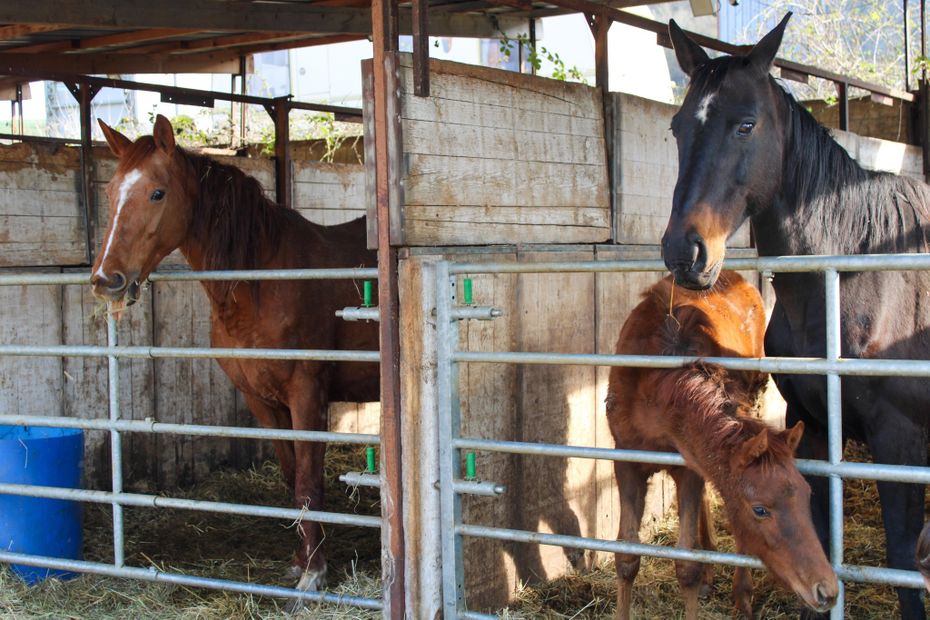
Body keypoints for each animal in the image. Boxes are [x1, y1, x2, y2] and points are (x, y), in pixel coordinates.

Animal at [90, 115, 379, 600]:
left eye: (157, 193)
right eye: (110, 192)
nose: (105, 279)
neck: (262, 282)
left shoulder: (307, 394)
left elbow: (309, 481)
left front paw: (315, 572)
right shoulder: (261, 400)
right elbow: (291, 477)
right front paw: (299, 562)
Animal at [606, 270, 837, 618]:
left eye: (807, 495)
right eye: (760, 509)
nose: (826, 590)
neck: (655, 394)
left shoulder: (688, 466)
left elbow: (686, 566)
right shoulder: (627, 460)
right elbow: (626, 558)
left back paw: (741, 593)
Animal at [661, 13, 930, 618]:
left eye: (746, 125)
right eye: (676, 128)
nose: (683, 252)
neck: (845, 279)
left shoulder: (900, 443)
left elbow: (902, 561)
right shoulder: (815, 432)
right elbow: (821, 533)